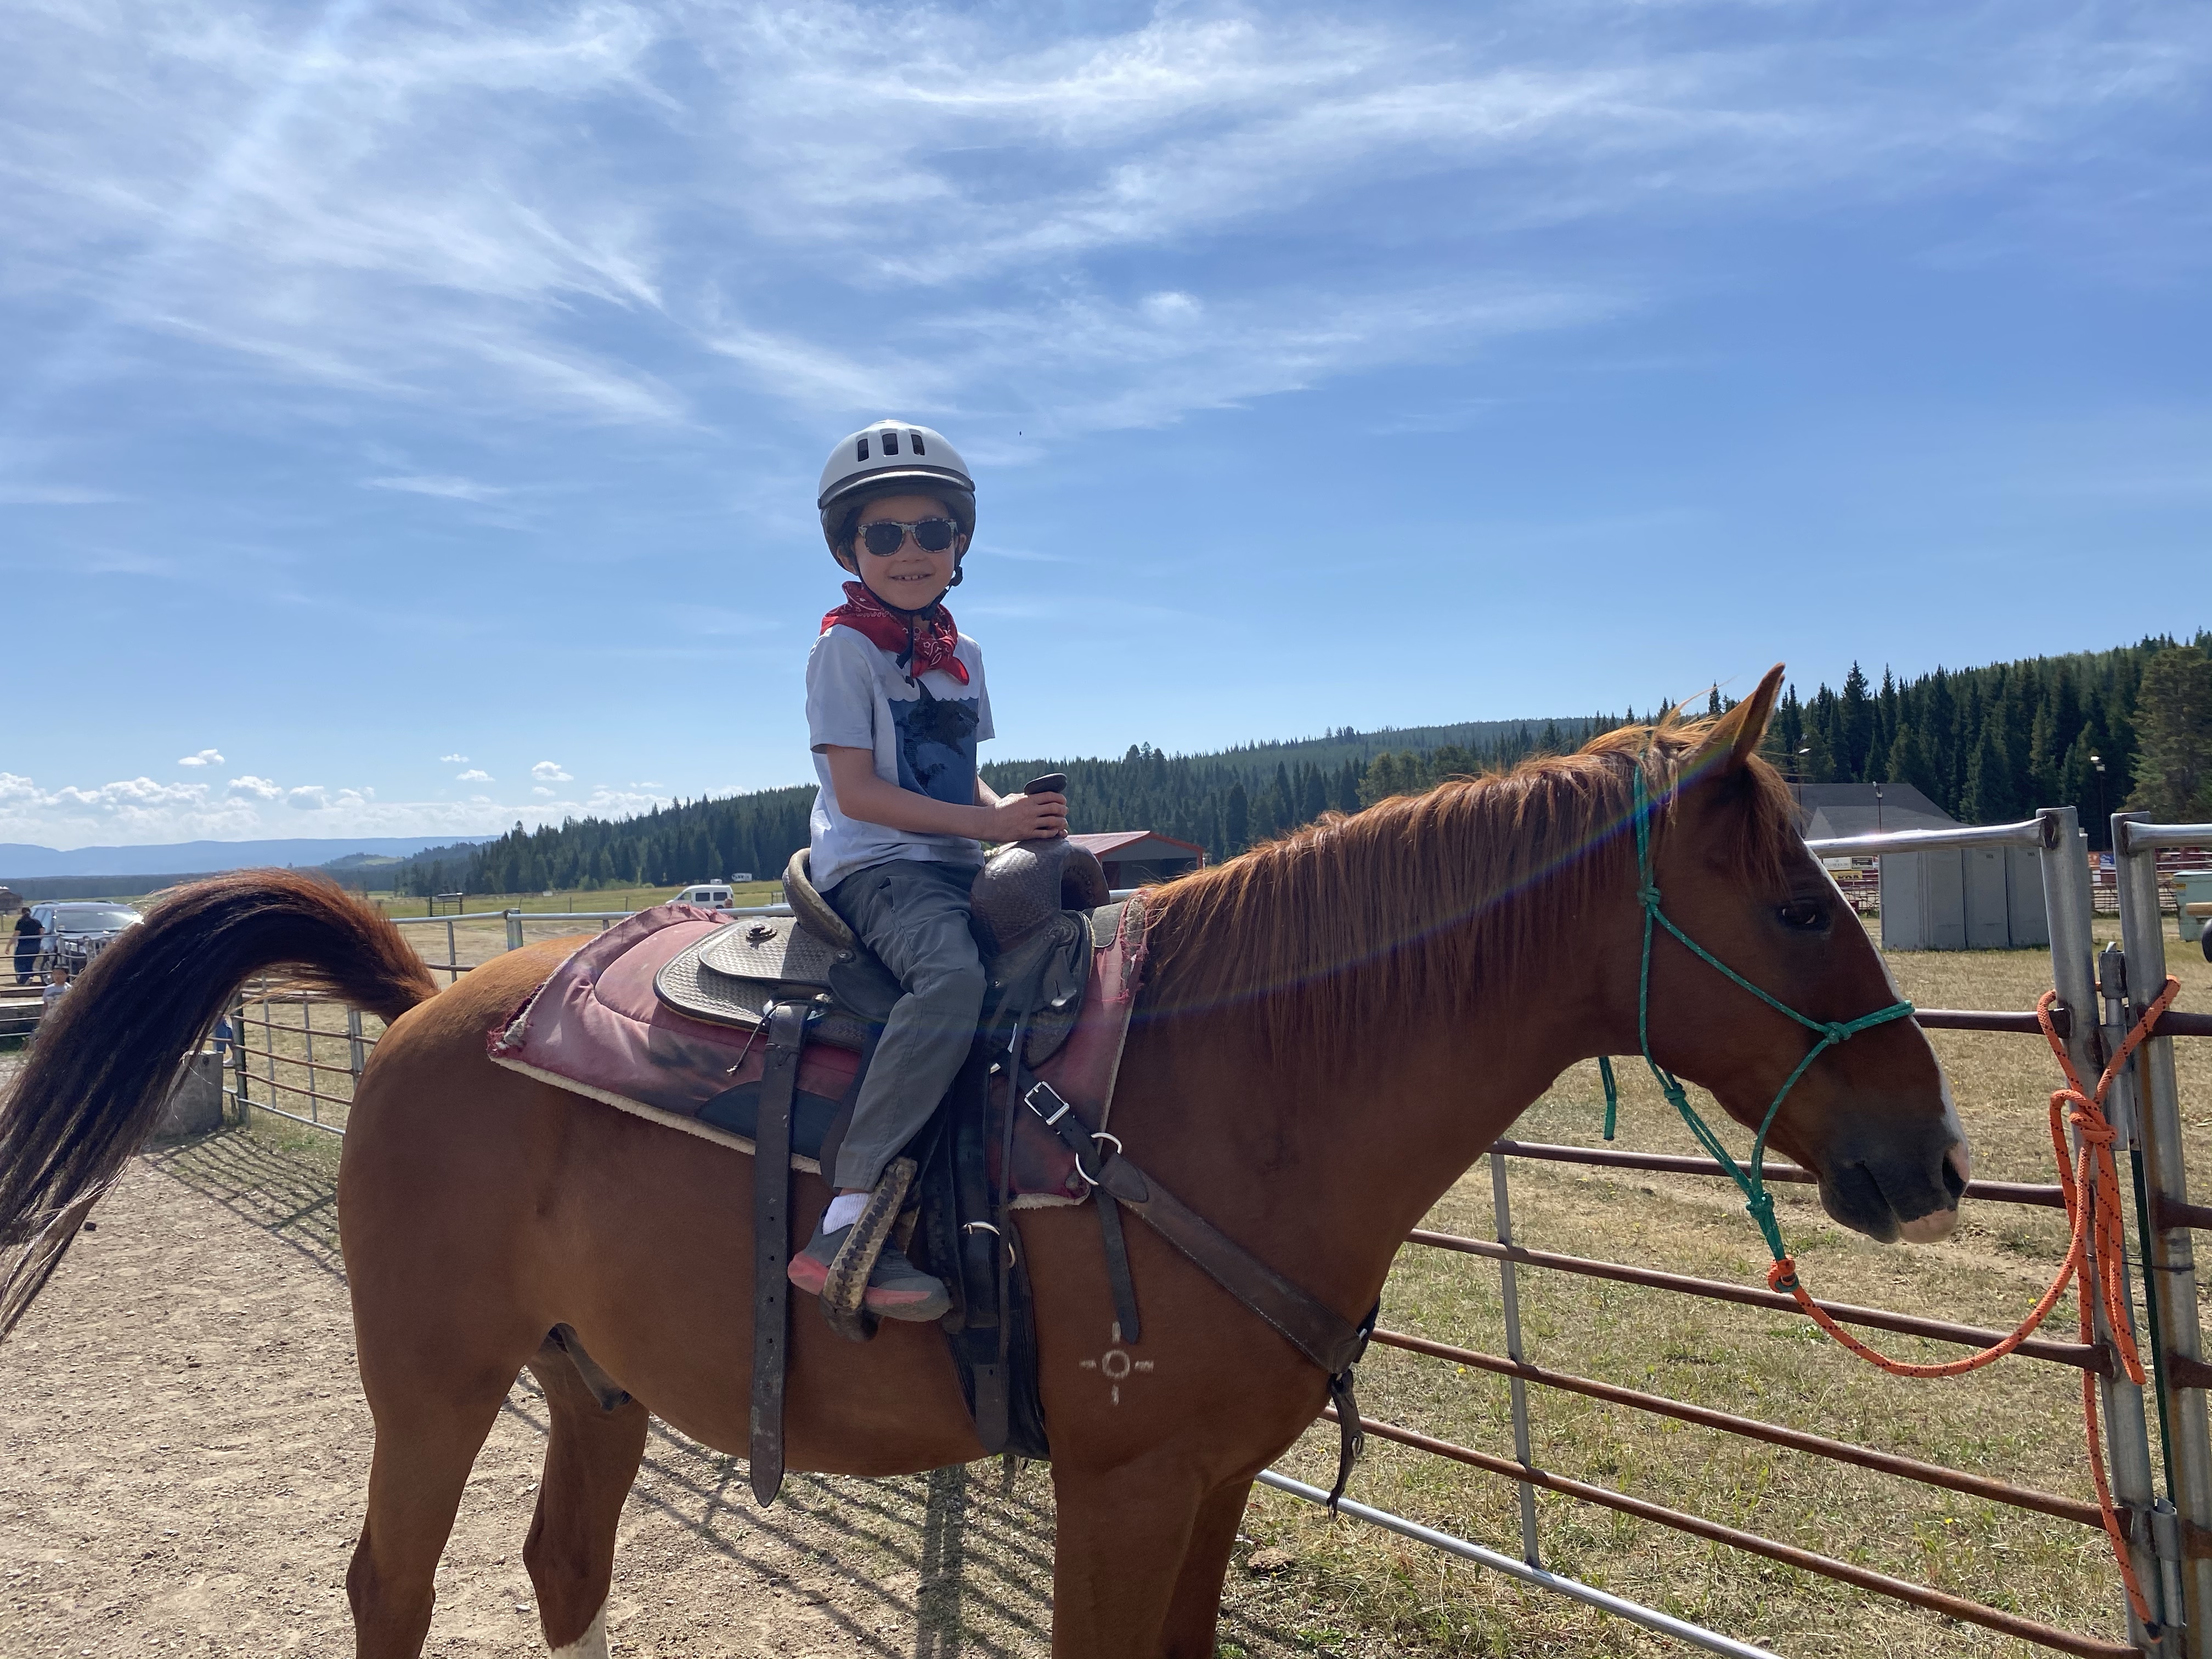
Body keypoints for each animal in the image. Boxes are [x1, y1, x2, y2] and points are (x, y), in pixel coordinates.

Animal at [0, 669, 1968, 1658]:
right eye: (1803, 907)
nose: (1934, 1156)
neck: (1228, 1082)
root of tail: (427, 1013)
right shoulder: (1120, 1484)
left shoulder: (1211, 1484)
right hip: (433, 1376)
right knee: (391, 1588)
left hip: (592, 1381)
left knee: (564, 1569)